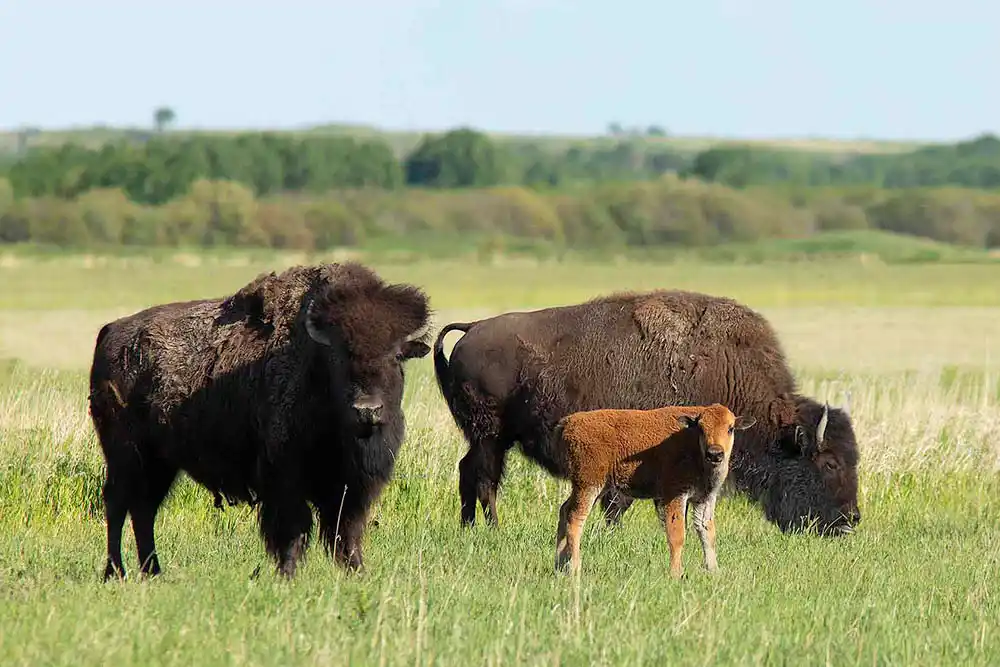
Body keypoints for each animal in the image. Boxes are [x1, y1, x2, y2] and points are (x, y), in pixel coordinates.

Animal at [88, 261, 431, 580]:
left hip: (160, 463)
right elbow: (293, 530)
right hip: (126, 456)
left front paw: (357, 573)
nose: (367, 410)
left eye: (396, 356)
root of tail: (111, 331)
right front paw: (288, 575)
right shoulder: (284, 478)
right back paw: (115, 572)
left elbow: (345, 532)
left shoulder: (350, 488)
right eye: (339, 356)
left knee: (143, 509)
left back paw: (152, 572)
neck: (315, 368)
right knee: (118, 504)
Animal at [433, 289, 861, 536]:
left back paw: (468, 529)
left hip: (486, 437)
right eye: (829, 463)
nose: (851, 520)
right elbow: (617, 503)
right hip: (491, 435)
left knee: (469, 471)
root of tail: (472, 328)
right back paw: (493, 531)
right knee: (485, 478)